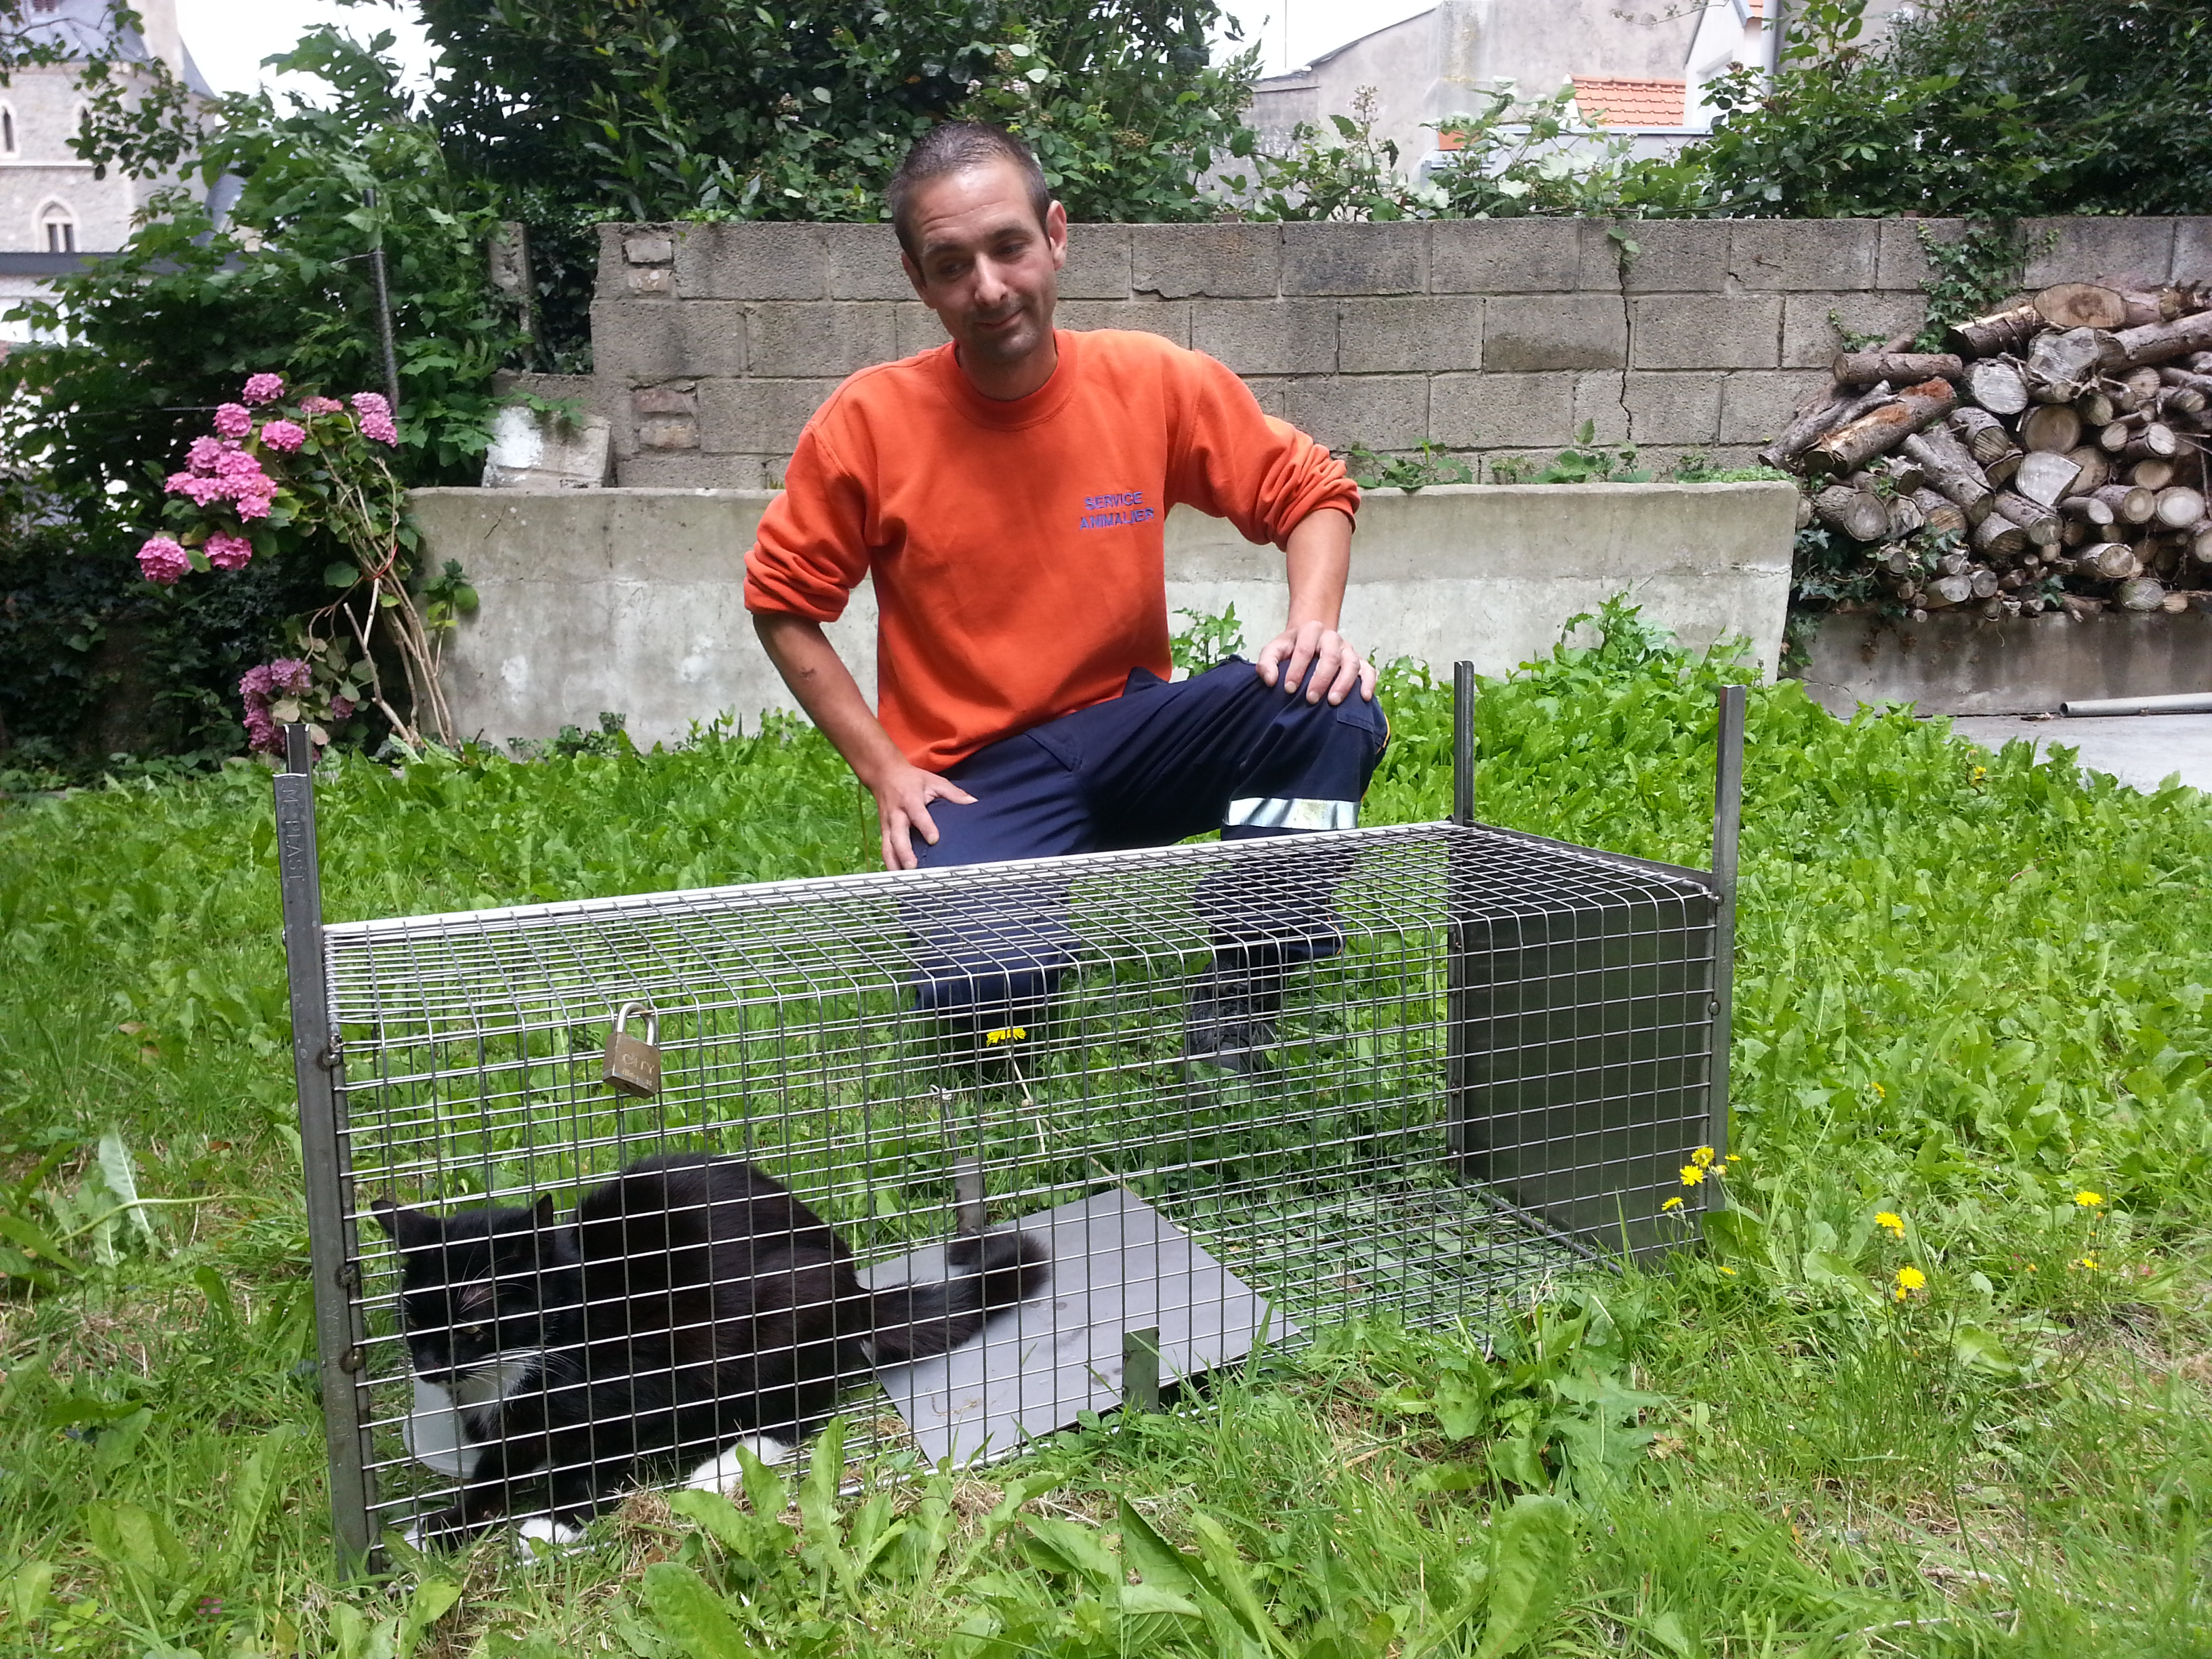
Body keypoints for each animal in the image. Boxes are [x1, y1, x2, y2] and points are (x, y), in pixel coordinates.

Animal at [371, 1150, 1044, 1557]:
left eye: (473, 1321)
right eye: (413, 1317)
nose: (430, 1367)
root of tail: (854, 1290)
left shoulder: (632, 1391)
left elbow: (587, 1464)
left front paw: (552, 1525)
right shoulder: (506, 1430)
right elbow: (494, 1475)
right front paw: (437, 1531)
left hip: (779, 1316)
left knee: (792, 1413)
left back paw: (721, 1468)